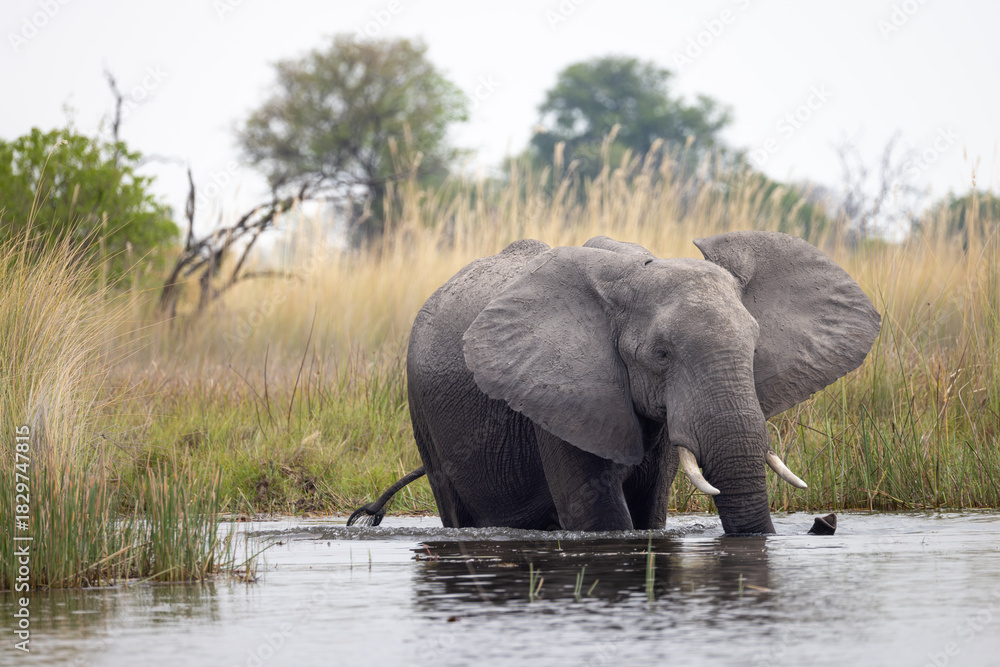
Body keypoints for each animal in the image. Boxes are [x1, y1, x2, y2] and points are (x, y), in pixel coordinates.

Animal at [348, 231, 881, 535]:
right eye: (661, 355)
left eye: (754, 349)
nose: (824, 523)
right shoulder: (561, 394)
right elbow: (601, 518)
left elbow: (651, 510)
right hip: (422, 409)